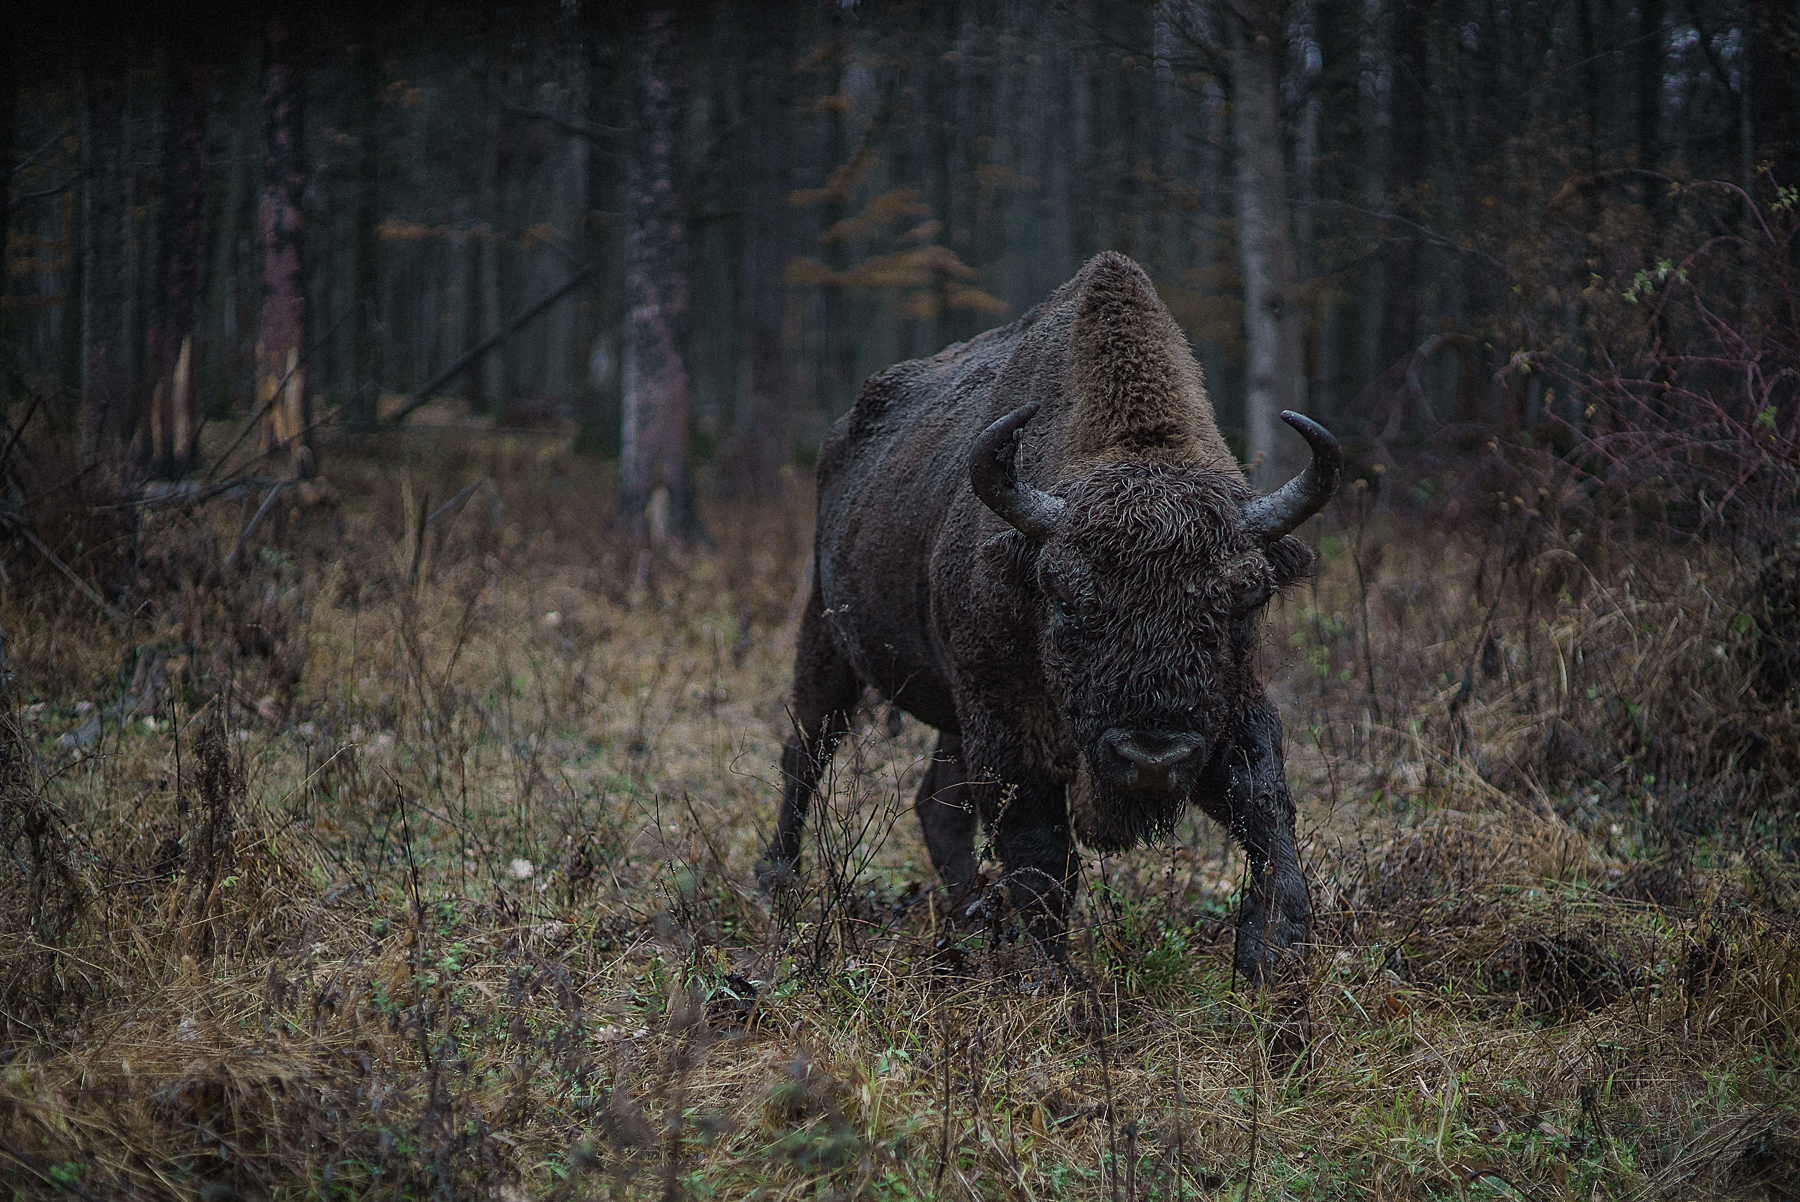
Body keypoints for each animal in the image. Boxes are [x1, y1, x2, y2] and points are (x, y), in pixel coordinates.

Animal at [759, 251, 1339, 978]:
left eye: (1246, 599)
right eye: (1063, 595)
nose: (1152, 756)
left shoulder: (1231, 706)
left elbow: (1266, 807)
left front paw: (1274, 949)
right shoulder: (1006, 722)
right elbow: (1040, 856)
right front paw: (1055, 979)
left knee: (935, 805)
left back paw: (971, 922)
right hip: (830, 637)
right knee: (806, 753)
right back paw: (781, 886)